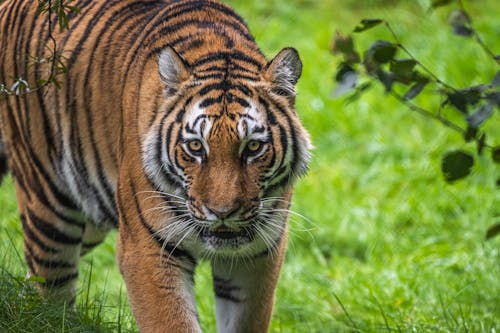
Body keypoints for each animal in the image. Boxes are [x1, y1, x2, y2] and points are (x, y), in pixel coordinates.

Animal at [0, 0, 310, 330]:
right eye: (195, 146)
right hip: (51, 209)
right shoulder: (147, 249)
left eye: (253, 147)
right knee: (49, 296)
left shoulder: (257, 255)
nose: (223, 213)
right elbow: (171, 322)